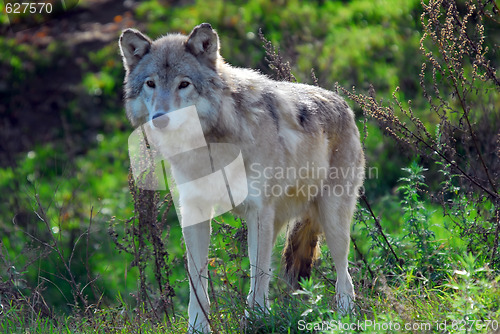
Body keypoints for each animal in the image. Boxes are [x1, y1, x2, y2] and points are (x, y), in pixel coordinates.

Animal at [119, 22, 366, 332]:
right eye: (150, 84)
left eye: (184, 84)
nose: (160, 119)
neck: (210, 147)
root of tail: (343, 103)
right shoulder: (194, 211)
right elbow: (197, 281)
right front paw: (198, 327)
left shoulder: (257, 212)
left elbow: (257, 274)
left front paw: (256, 320)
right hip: (279, 220)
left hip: (332, 220)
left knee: (345, 277)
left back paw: (345, 318)